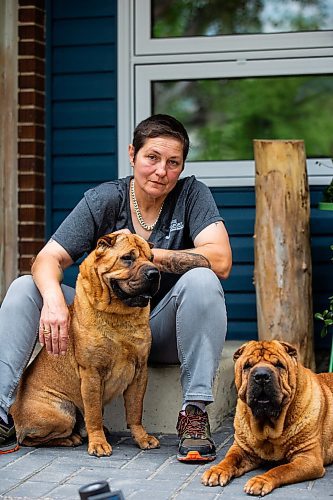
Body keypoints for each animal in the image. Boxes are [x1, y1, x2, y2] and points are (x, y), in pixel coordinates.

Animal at [10, 232, 161, 456]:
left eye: (151, 258)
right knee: (30, 439)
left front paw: (142, 438)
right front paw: (98, 443)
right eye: (127, 258)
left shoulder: (140, 371)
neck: (118, 315)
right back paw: (70, 438)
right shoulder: (91, 372)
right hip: (63, 413)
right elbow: (94, 413)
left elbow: (135, 411)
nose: (154, 273)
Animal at [200, 340, 332, 496]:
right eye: (247, 366)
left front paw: (261, 481)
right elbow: (229, 459)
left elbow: (281, 469)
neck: (268, 426)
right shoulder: (241, 448)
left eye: (279, 365)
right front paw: (217, 470)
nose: (261, 376)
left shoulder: (308, 458)